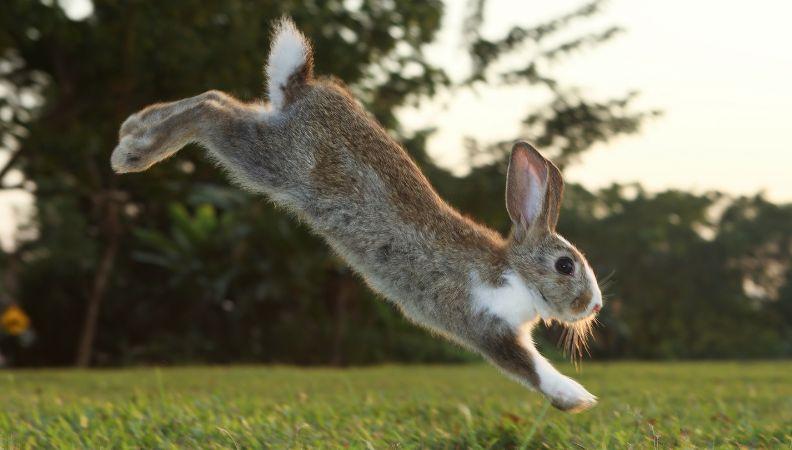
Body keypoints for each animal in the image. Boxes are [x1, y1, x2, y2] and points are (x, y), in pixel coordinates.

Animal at [111, 18, 603, 413]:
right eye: (565, 266)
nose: (594, 305)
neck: (513, 271)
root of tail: (304, 87)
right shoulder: (485, 326)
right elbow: (530, 367)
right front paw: (577, 398)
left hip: (266, 133)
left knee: (218, 98)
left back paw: (133, 126)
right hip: (271, 160)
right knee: (210, 111)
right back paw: (132, 153)